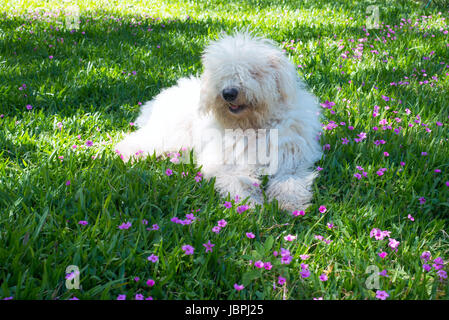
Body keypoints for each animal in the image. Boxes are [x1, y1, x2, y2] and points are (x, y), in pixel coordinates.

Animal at [114, 33, 320, 212]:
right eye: (222, 73)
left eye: (253, 72)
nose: (229, 93)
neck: (251, 125)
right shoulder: (227, 163)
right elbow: (239, 181)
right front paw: (249, 205)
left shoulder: (291, 161)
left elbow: (289, 182)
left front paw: (289, 204)